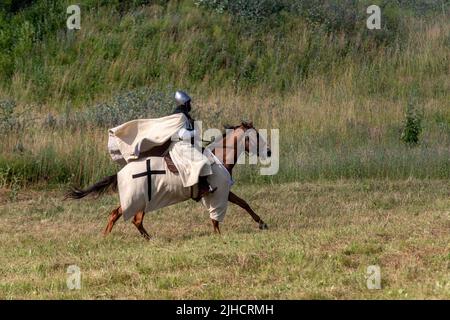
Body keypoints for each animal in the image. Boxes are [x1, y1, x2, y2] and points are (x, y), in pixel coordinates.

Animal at [66, 122, 268, 238]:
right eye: (256, 136)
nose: (269, 151)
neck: (219, 157)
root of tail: (121, 172)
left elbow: (240, 204)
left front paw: (261, 223)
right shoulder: (218, 192)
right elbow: (230, 209)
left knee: (119, 215)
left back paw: (110, 237)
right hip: (140, 199)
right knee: (131, 218)